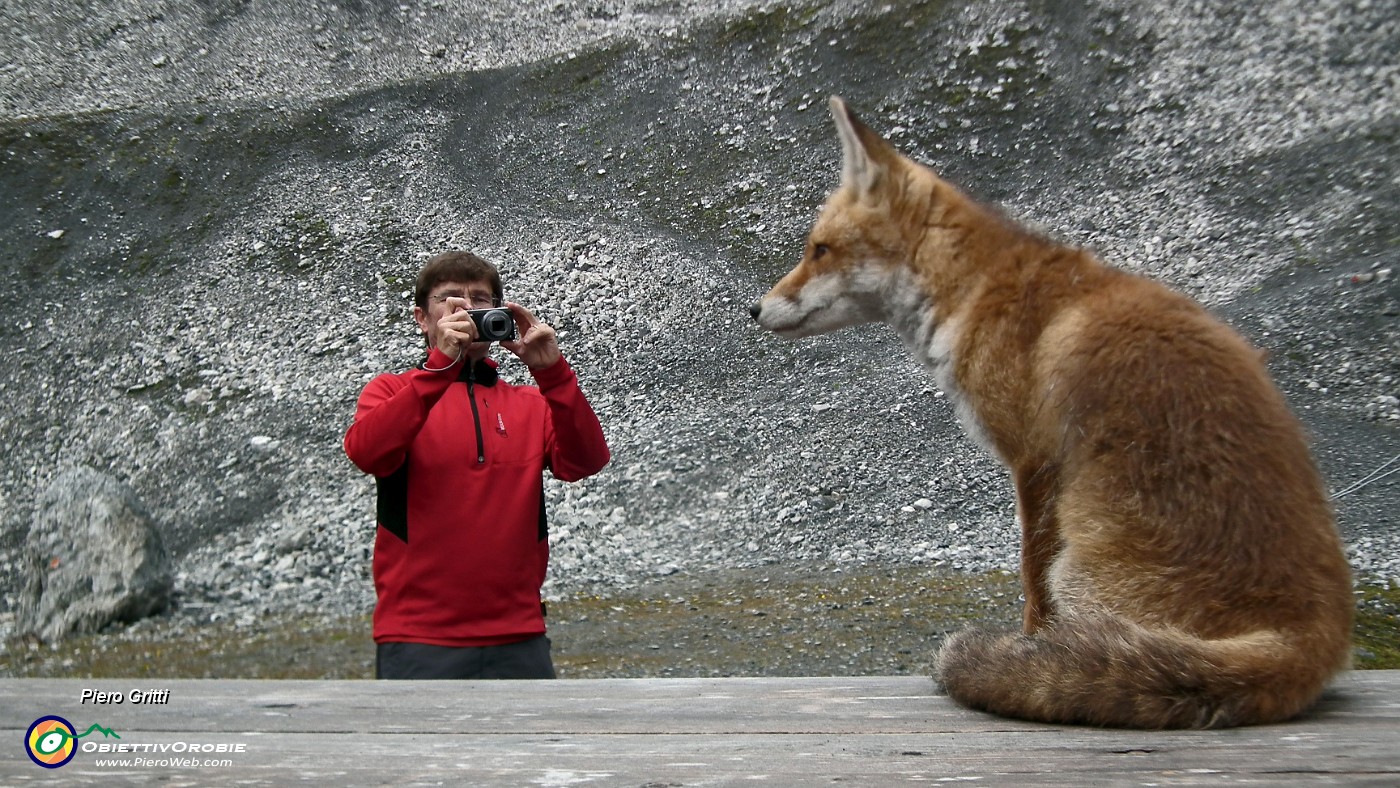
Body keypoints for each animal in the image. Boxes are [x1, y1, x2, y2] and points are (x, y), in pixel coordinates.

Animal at [756, 97, 1355, 727]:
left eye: (819, 250)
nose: (754, 308)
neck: (973, 292)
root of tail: (1316, 634)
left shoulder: (1035, 460)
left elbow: (1032, 581)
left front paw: (1030, 649)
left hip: (1084, 555)